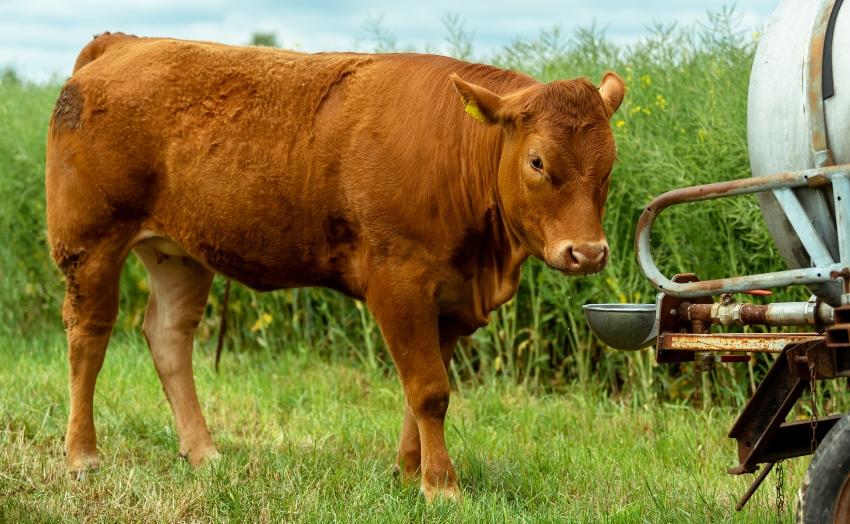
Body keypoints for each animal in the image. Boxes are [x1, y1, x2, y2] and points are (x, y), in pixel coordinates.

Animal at [46, 32, 624, 500]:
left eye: (608, 166)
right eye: (537, 162)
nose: (588, 252)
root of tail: (124, 43)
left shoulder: (453, 297)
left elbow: (422, 392)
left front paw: (407, 473)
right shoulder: (400, 282)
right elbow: (429, 391)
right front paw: (442, 486)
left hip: (179, 253)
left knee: (168, 336)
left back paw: (203, 452)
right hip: (90, 242)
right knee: (89, 337)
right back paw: (83, 455)